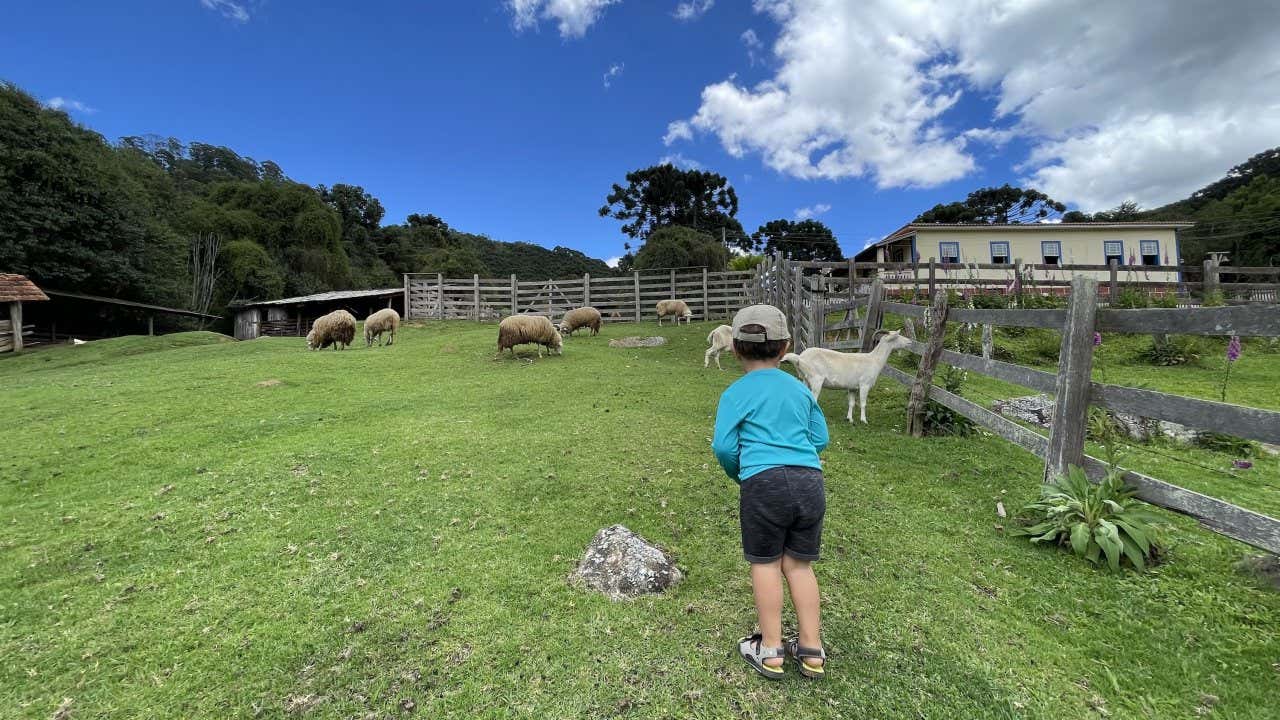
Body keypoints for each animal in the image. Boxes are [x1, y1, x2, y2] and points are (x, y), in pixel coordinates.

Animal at [773, 330, 916, 422]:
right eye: (897, 336)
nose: (910, 342)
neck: (874, 360)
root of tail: (800, 358)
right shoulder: (864, 385)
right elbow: (863, 403)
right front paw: (864, 420)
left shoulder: (852, 388)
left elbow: (851, 403)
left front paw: (850, 419)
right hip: (816, 379)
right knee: (814, 398)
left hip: (805, 379)